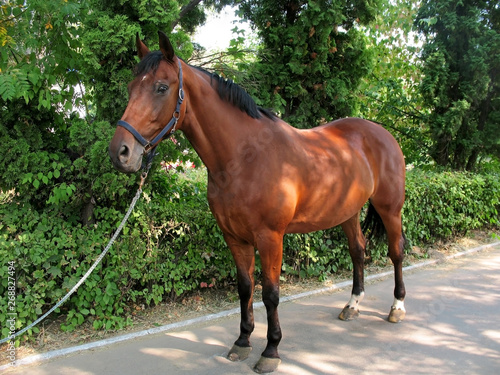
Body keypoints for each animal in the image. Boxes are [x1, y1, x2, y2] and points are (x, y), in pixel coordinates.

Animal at [108, 31, 406, 374]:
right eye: (131, 87)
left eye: (161, 87)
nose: (120, 152)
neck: (244, 157)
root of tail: (381, 132)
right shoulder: (234, 238)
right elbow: (245, 288)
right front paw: (242, 341)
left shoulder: (270, 238)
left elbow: (271, 294)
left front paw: (271, 350)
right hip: (348, 212)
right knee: (358, 251)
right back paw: (352, 305)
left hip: (390, 209)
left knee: (396, 252)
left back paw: (397, 307)